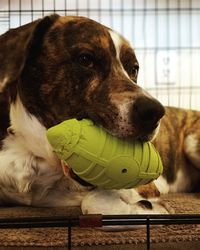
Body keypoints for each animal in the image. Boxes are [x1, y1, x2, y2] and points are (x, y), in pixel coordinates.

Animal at [0, 13, 199, 214]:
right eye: (85, 59)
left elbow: (93, 200)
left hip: (191, 143)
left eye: (134, 69)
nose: (154, 112)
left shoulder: (143, 185)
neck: (35, 152)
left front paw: (146, 208)